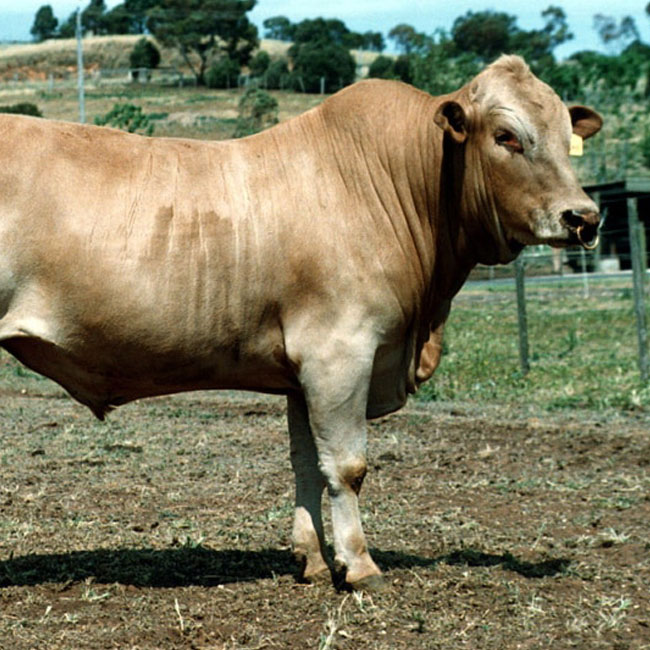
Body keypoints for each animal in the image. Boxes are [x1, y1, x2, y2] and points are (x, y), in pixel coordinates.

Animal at [0, 55, 601, 590]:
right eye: (506, 136)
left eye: (567, 134)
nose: (584, 217)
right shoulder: (340, 353)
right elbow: (347, 466)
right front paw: (360, 566)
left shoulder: (301, 373)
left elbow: (307, 464)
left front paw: (312, 561)